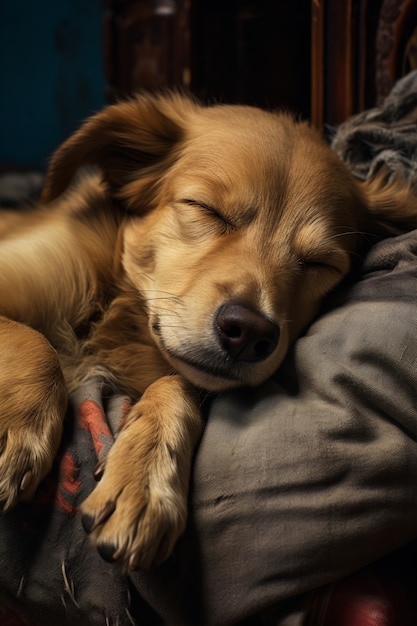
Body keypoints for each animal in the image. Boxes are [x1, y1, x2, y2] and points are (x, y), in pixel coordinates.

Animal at [0, 94, 416, 572]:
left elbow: (178, 384)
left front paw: (146, 481)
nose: (249, 333)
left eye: (320, 263)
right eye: (205, 208)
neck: (119, 309)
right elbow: (35, 342)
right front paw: (20, 429)